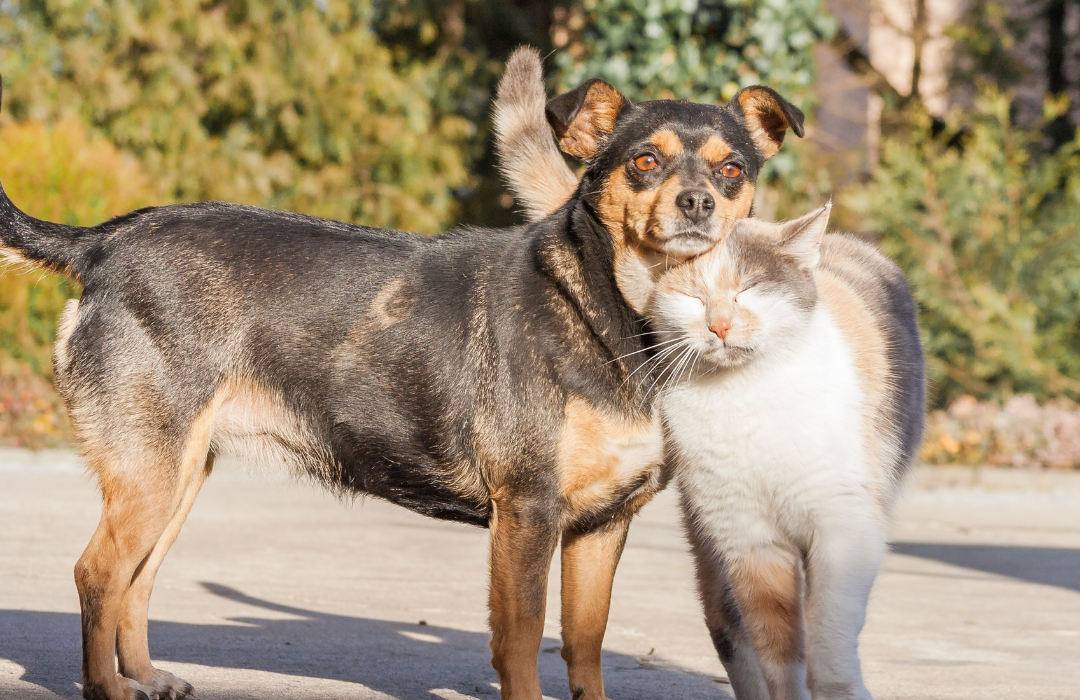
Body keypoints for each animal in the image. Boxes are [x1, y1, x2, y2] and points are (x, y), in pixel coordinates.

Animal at [0, 47, 803, 700]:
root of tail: (103, 242)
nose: (699, 203)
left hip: (178, 473)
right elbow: (520, 645)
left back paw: (143, 676)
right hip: (151, 472)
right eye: (644, 161)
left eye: (733, 169)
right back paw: (107, 686)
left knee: (137, 580)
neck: (618, 311)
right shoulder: (528, 511)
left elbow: (584, 646)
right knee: (98, 574)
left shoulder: (602, 525)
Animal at [648, 199, 928, 695]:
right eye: (693, 297)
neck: (744, 396)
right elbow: (777, 648)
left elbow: (828, 637)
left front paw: (842, 690)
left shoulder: (845, 528)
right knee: (730, 630)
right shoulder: (751, 543)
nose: (719, 325)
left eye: (751, 288)